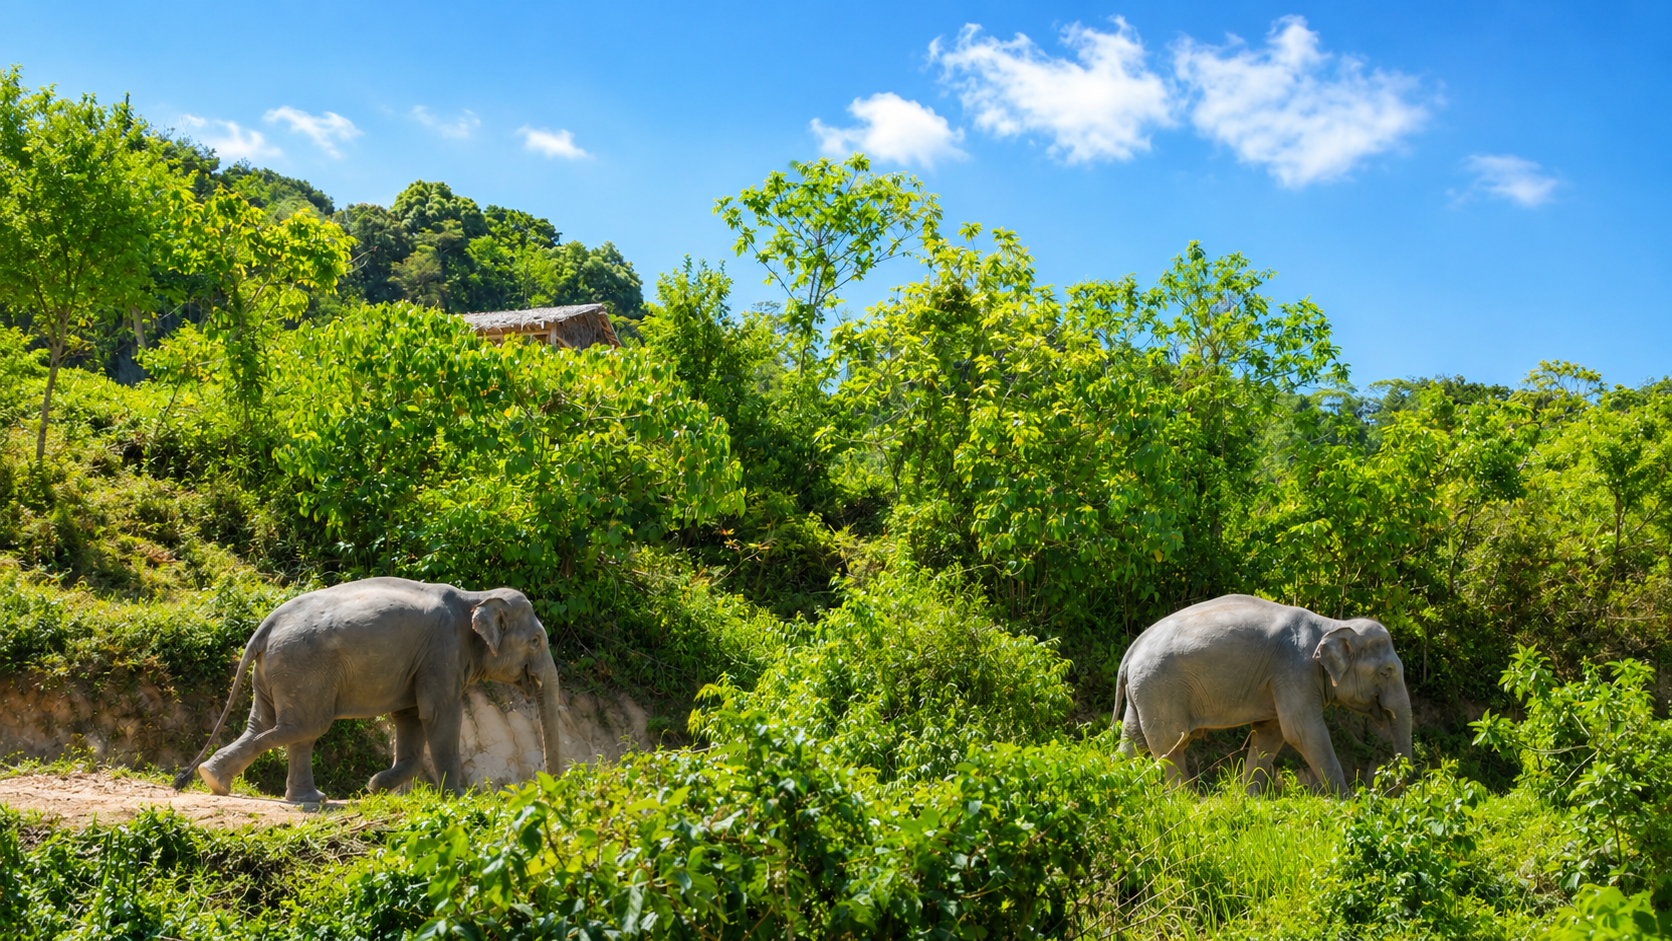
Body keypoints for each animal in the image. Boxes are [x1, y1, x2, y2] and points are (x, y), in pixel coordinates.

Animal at [173, 577, 563, 802]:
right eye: (535, 641)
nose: (550, 795)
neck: (476, 596)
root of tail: (266, 625)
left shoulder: (422, 661)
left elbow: (409, 717)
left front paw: (377, 787)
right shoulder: (442, 652)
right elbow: (439, 714)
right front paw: (457, 799)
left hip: (276, 670)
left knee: (272, 726)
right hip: (301, 667)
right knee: (302, 727)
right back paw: (221, 781)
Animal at [1112, 594, 1412, 795]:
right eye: (1386, 672)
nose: (1388, 792)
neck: (1332, 624)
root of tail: (1132, 649)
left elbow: (1271, 733)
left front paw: (1250, 798)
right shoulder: (1295, 670)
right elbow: (1302, 732)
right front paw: (1347, 802)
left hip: (1143, 690)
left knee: (1133, 740)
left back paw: (1117, 780)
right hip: (1160, 686)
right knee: (1171, 742)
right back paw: (1186, 798)